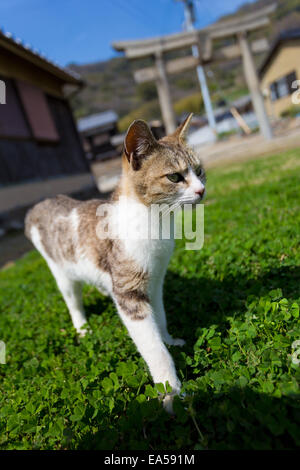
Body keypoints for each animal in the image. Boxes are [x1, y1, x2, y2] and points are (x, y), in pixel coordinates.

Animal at [24, 114, 205, 412]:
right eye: (175, 177)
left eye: (199, 171)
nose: (201, 190)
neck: (155, 222)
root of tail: (38, 206)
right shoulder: (128, 291)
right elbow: (154, 348)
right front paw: (171, 391)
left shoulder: (156, 281)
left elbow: (161, 316)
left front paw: (169, 339)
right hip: (61, 272)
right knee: (73, 301)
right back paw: (83, 328)